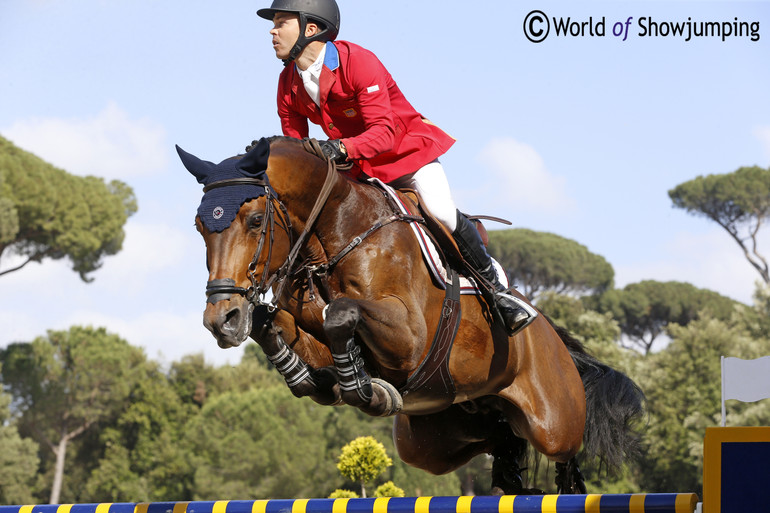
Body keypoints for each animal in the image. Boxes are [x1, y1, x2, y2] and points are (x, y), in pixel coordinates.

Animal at [178, 136, 640, 492]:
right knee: (501, 442)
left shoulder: (409, 339)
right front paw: (317, 378)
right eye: (200, 227)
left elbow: (340, 313)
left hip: (553, 421)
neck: (332, 238)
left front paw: (361, 387)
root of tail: (553, 334)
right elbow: (273, 327)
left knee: (564, 452)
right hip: (437, 438)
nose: (221, 320)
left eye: (256, 220)